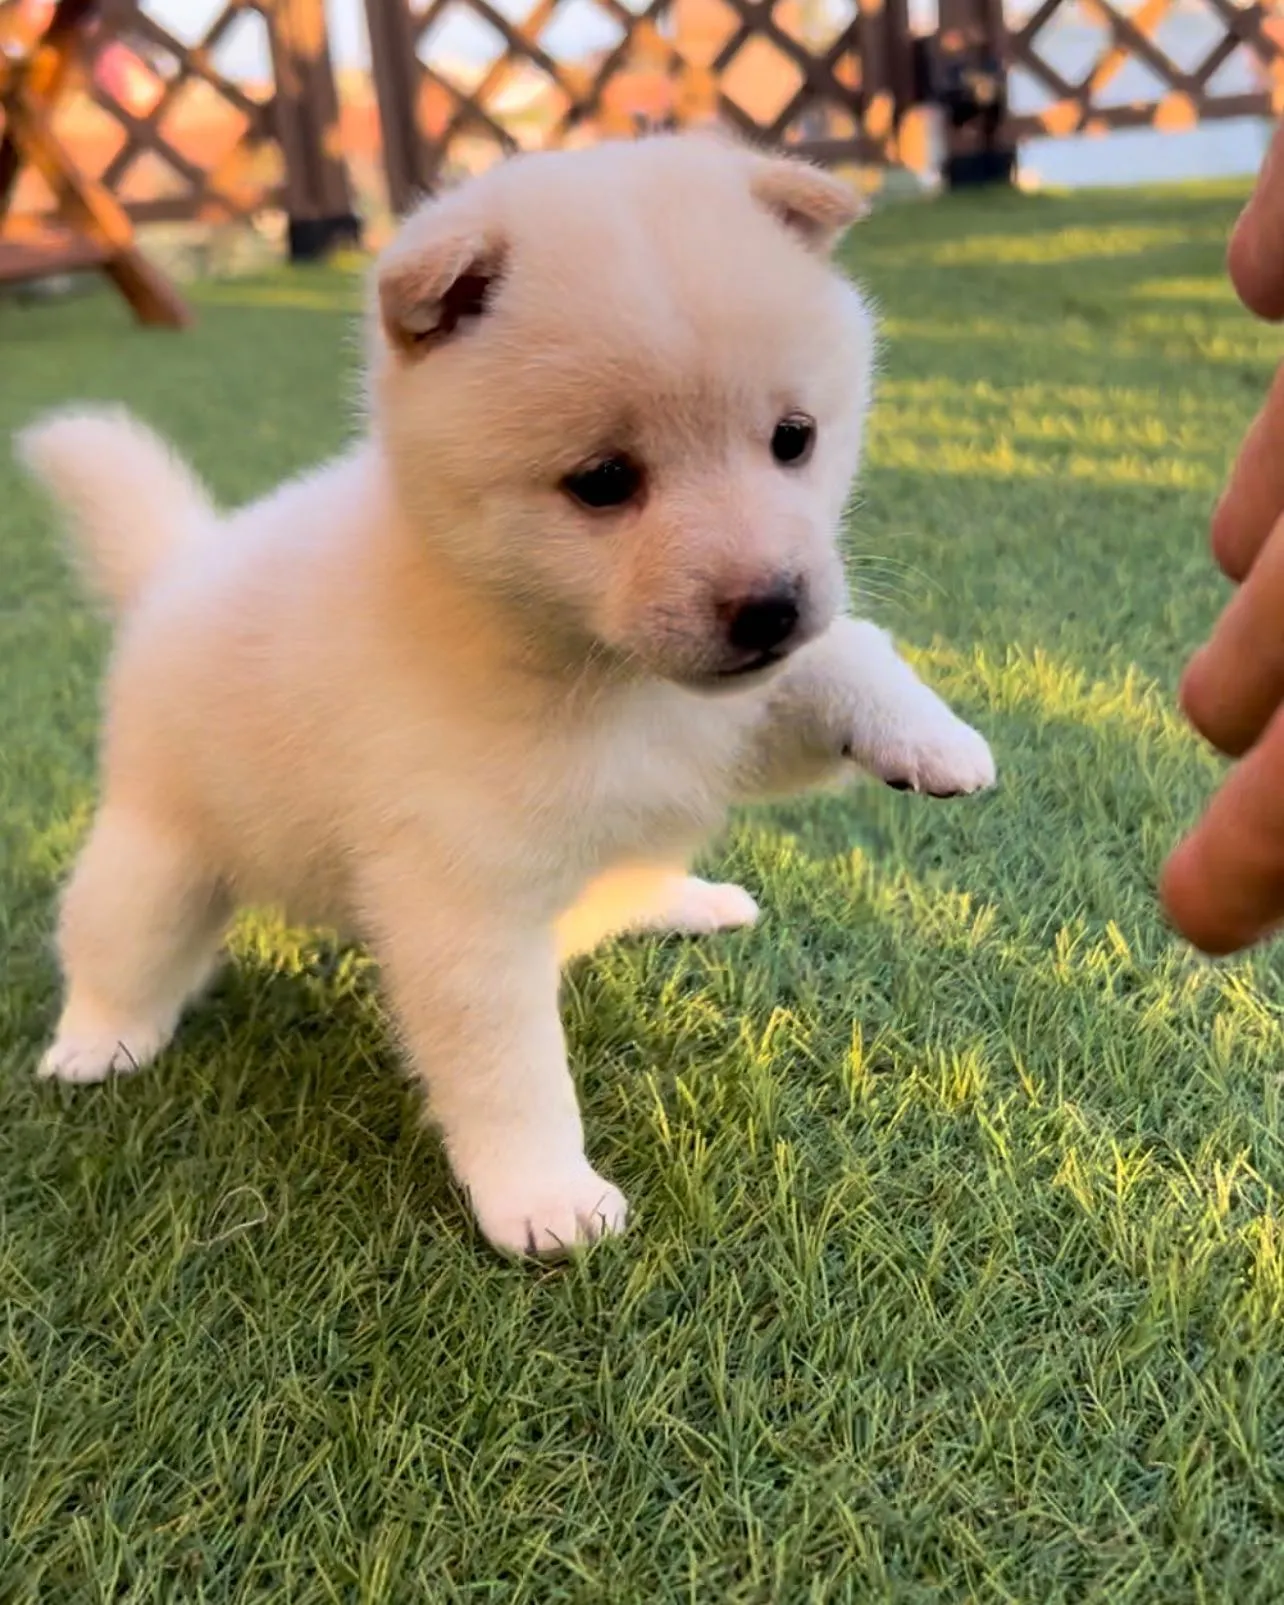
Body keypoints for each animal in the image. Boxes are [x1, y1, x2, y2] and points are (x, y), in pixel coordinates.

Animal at [20, 134, 995, 1251]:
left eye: (795, 437)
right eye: (604, 481)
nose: (769, 607)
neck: (602, 677)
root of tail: (178, 567)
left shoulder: (732, 725)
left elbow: (848, 653)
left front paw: (932, 736)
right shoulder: (465, 908)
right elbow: (512, 1073)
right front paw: (543, 1196)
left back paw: (687, 898)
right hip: (160, 857)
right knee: (116, 945)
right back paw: (95, 1043)